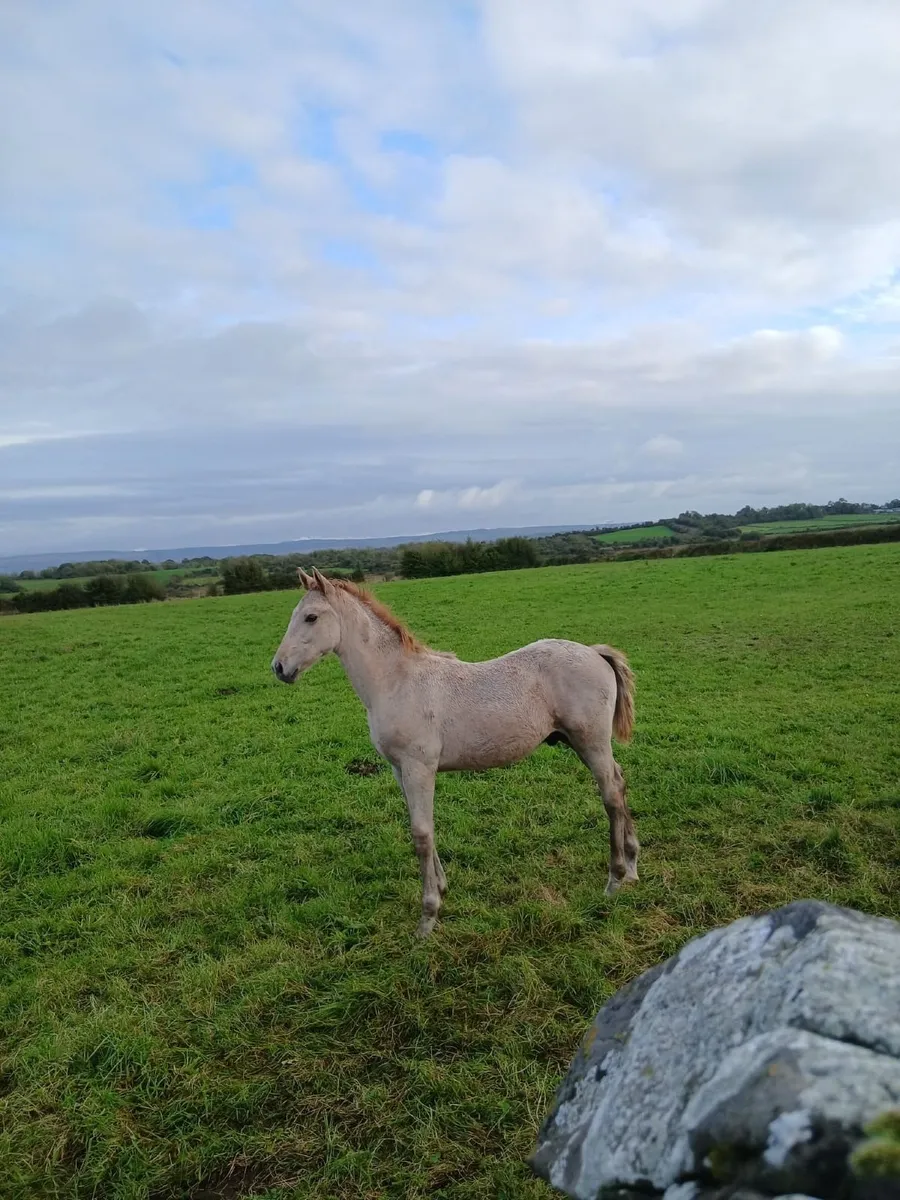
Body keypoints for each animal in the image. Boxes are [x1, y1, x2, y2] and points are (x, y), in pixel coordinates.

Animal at [272, 568, 639, 937]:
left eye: (311, 617)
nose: (279, 668)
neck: (396, 682)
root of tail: (594, 652)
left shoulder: (419, 767)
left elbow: (421, 834)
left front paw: (428, 916)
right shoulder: (399, 769)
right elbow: (423, 828)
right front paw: (442, 888)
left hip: (590, 741)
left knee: (610, 795)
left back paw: (615, 879)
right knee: (620, 782)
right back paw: (634, 866)